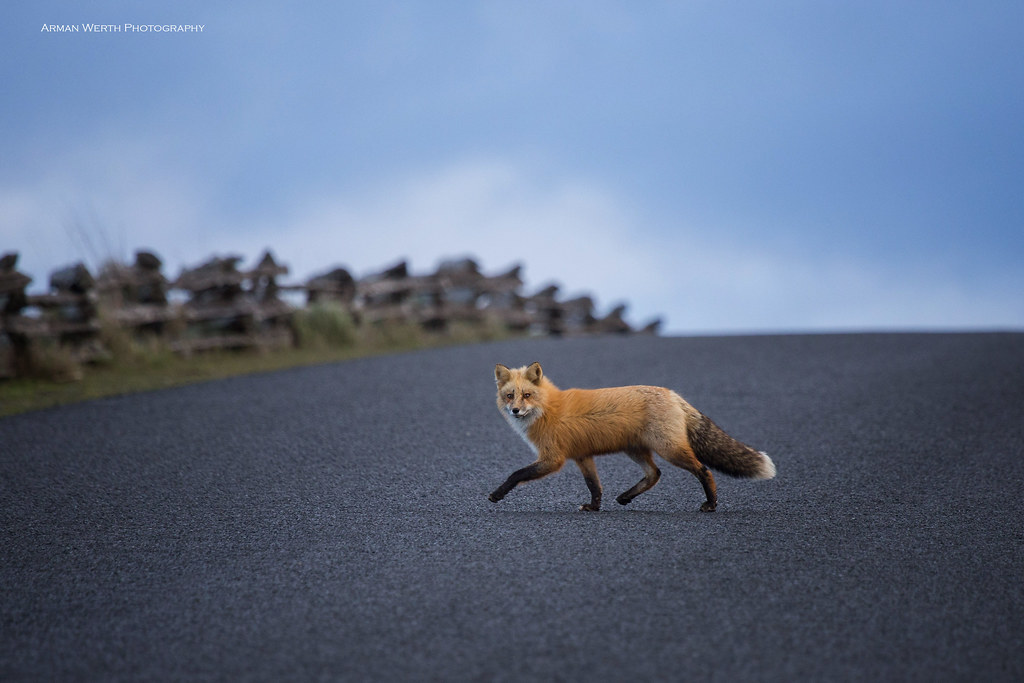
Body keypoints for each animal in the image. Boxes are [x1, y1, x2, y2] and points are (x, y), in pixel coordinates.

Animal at [488, 362, 775, 512]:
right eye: (509, 396)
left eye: (527, 395)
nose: (515, 410)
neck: (549, 408)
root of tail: (673, 394)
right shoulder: (582, 456)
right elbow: (595, 486)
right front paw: (594, 507)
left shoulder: (553, 458)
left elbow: (516, 474)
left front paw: (496, 494)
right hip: (636, 450)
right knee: (654, 474)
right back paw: (626, 497)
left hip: (670, 450)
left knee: (703, 470)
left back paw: (711, 504)